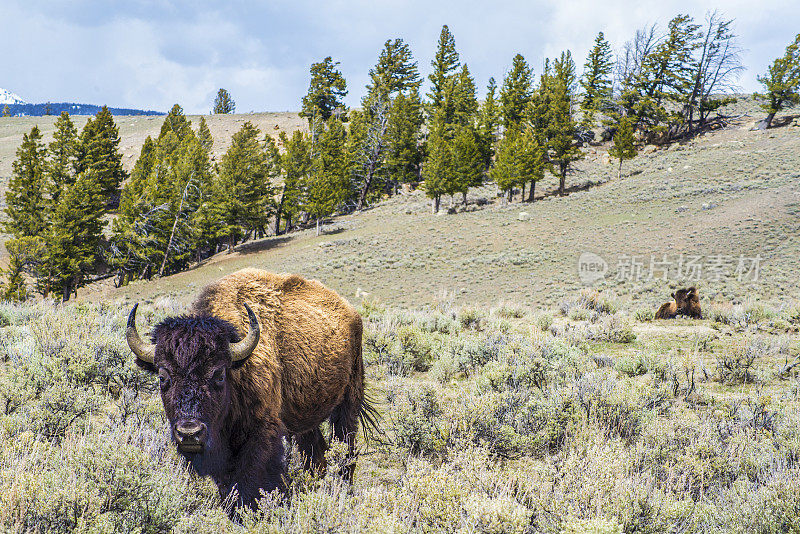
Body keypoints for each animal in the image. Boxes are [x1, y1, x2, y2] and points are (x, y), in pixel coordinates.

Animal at [125, 270, 376, 512]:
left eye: (219, 374)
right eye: (162, 376)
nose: (189, 432)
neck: (237, 365)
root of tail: (351, 312)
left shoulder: (261, 433)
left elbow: (253, 480)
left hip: (349, 399)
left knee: (346, 448)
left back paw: (342, 489)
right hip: (304, 418)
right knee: (316, 453)